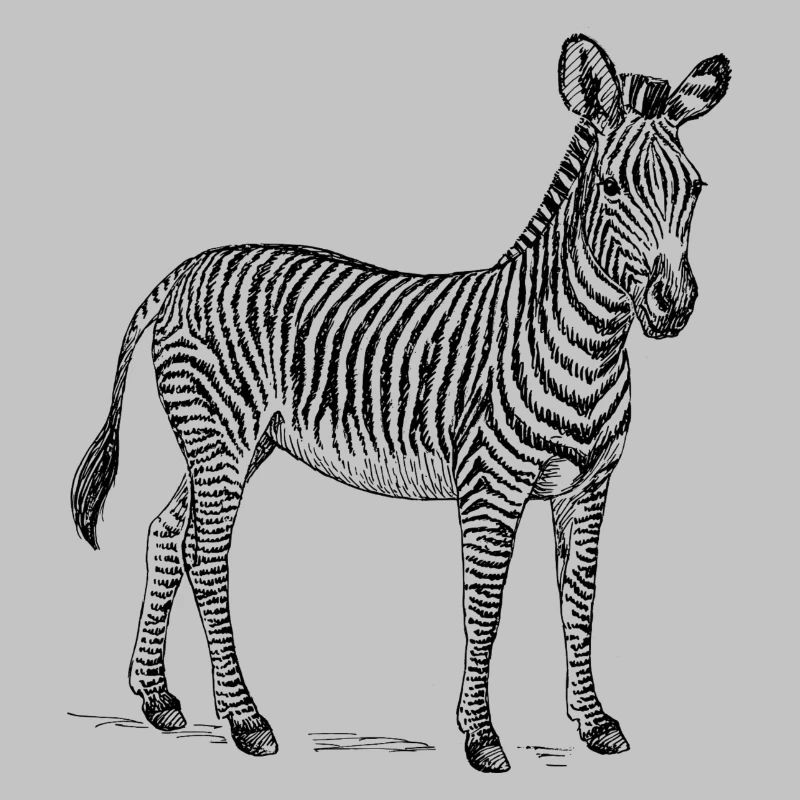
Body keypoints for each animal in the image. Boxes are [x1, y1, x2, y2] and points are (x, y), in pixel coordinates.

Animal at [71, 34, 730, 773]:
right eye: (612, 187)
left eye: (695, 189)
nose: (674, 306)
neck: (587, 344)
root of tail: (181, 273)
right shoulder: (491, 483)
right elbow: (485, 604)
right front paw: (481, 736)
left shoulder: (589, 486)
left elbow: (579, 602)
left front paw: (594, 724)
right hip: (221, 433)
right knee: (206, 554)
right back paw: (246, 721)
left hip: (234, 443)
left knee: (164, 533)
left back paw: (157, 699)